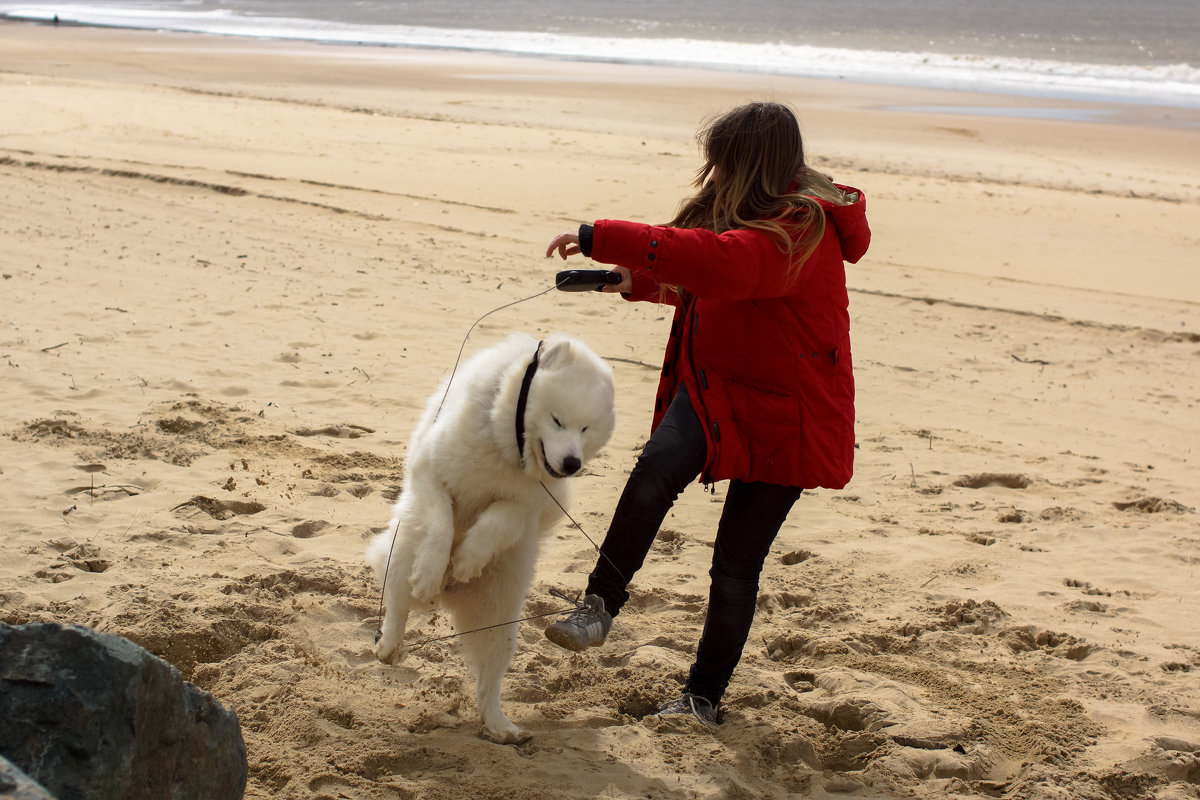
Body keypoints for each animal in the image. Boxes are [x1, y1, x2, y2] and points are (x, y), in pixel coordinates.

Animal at [364, 331, 614, 743]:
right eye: (558, 421)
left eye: (586, 429)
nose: (571, 464)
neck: (506, 443)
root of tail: (451, 598)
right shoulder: (431, 474)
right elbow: (443, 524)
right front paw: (435, 569)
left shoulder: (525, 505)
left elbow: (497, 522)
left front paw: (467, 559)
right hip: (402, 553)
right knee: (398, 605)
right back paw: (392, 642)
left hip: (502, 621)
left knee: (489, 681)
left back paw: (502, 727)